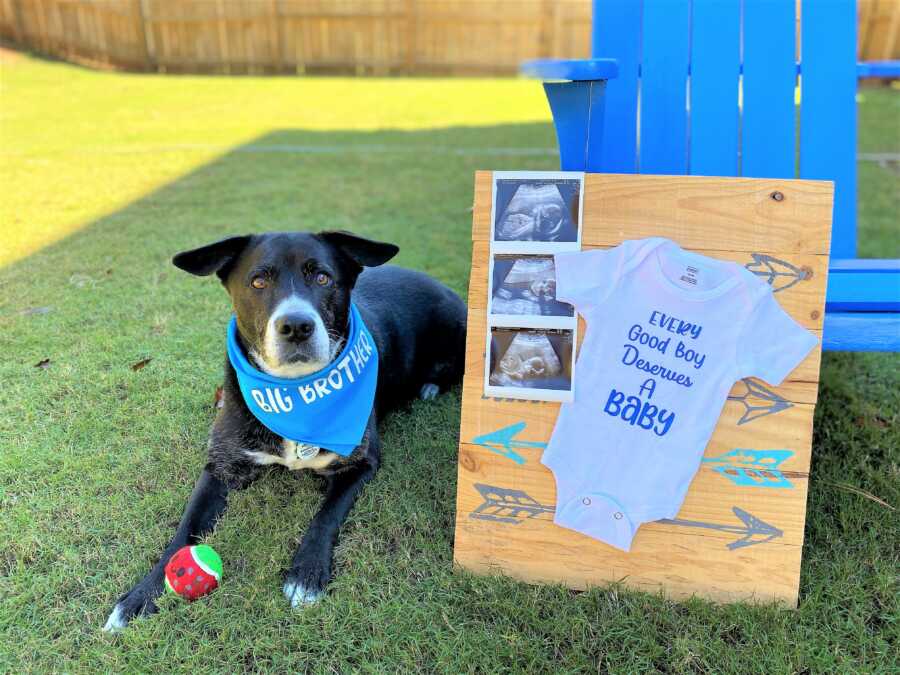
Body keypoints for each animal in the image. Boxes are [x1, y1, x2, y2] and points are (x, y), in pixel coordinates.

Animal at [107, 230, 464, 632]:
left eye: (322, 278)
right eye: (258, 281)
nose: (296, 326)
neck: (296, 392)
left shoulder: (361, 463)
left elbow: (325, 516)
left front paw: (306, 575)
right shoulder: (221, 466)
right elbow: (184, 531)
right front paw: (140, 596)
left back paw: (430, 387)